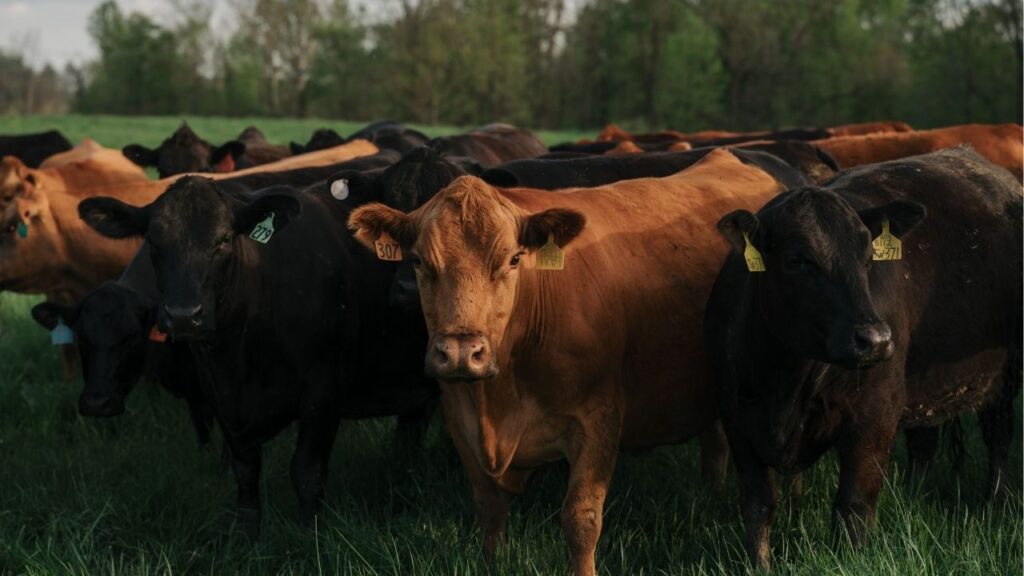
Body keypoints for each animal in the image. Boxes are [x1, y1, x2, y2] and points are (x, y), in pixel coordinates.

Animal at [77, 174, 438, 532]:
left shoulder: (324, 390)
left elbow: (306, 471)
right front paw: (246, 535)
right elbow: (245, 473)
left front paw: (310, 534)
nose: (183, 315)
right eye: (153, 242)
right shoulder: (219, 396)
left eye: (224, 239)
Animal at [346, 149, 801, 576]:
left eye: (513, 259)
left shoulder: (598, 418)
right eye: (420, 261)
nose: (461, 352)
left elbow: (581, 519)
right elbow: (489, 510)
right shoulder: (461, 419)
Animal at [704, 147, 1022, 569]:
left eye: (869, 255)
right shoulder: (737, 417)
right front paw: (759, 566)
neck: (784, 379)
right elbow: (758, 505)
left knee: (998, 435)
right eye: (796, 260)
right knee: (924, 442)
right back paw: (911, 498)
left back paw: (996, 501)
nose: (875, 339)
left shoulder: (874, 412)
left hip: (1003, 373)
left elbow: (853, 506)